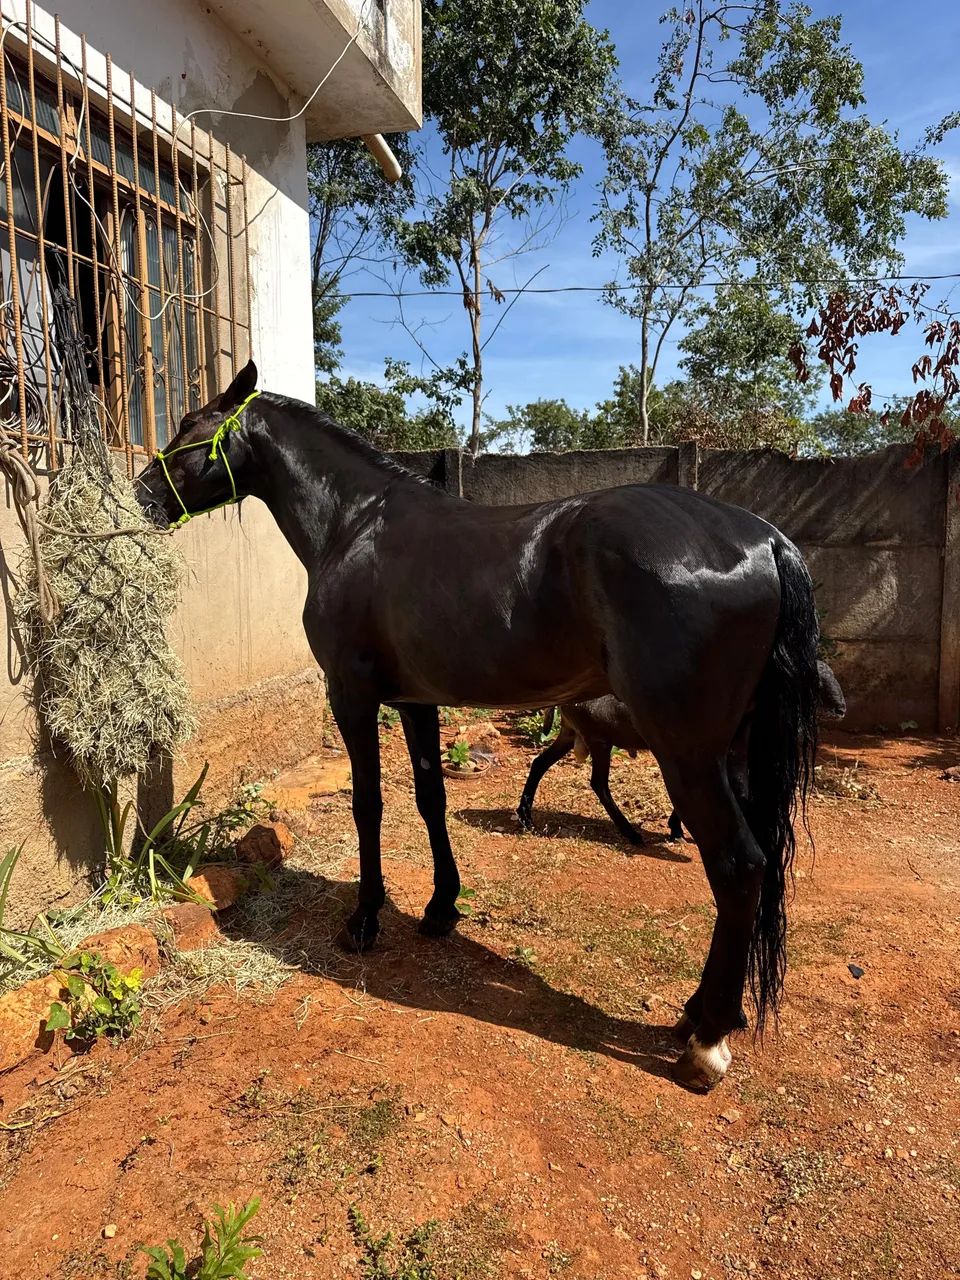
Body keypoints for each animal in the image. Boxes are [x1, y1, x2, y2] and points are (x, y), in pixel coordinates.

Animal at [519, 661, 845, 845]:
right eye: (813, 681)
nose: (841, 709)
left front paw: (676, 828)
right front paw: (678, 828)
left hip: (571, 734)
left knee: (539, 764)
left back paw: (525, 816)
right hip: (599, 739)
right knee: (599, 784)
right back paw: (631, 834)